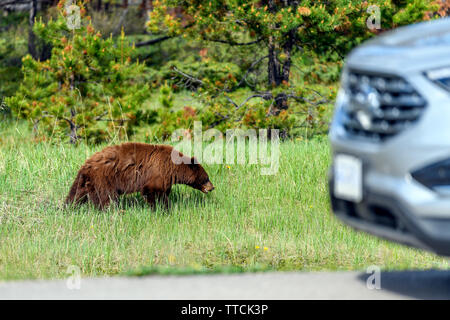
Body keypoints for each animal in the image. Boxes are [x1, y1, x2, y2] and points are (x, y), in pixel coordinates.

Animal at [65, 143, 214, 210]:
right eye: (206, 178)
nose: (212, 187)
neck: (173, 167)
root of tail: (87, 164)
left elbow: (164, 190)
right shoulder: (158, 171)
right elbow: (153, 191)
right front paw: (163, 208)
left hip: (84, 181)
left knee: (75, 194)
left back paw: (68, 207)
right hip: (103, 178)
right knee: (106, 197)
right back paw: (112, 210)